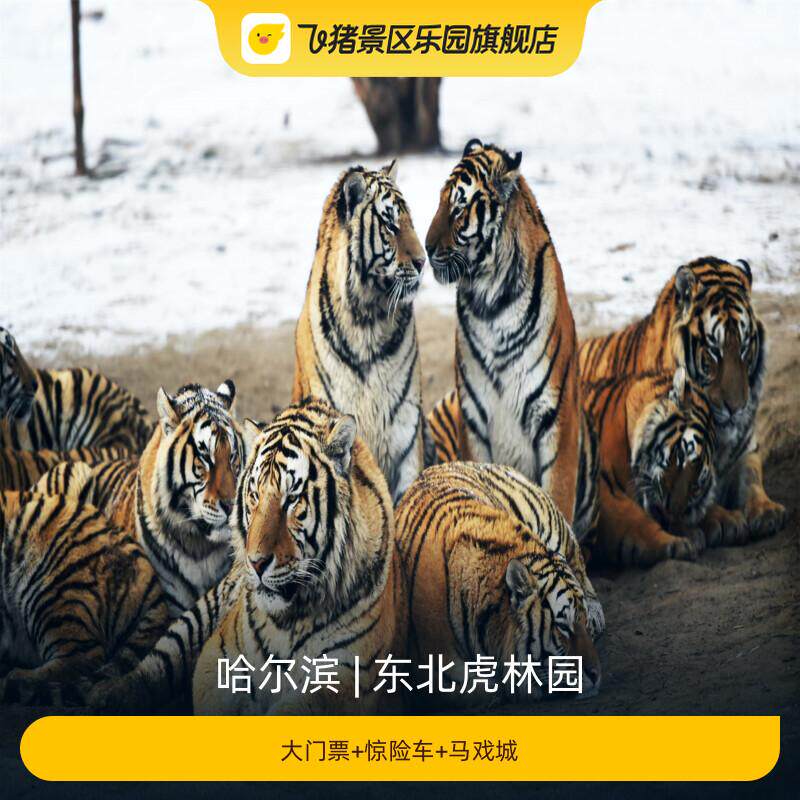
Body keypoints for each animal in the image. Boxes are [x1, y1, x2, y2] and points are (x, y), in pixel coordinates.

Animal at [424, 139, 598, 540]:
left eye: (458, 206)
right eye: (439, 201)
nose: (425, 247)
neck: (492, 305)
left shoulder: (557, 419)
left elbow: (558, 503)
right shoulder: (473, 419)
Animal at [578, 256, 786, 544]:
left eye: (744, 347)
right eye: (714, 350)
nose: (736, 408)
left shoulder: (745, 450)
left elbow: (751, 479)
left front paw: (766, 510)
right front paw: (725, 519)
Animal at [582, 368, 720, 566]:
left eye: (695, 487)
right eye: (681, 455)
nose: (668, 512)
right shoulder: (603, 486)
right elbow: (633, 520)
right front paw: (677, 543)